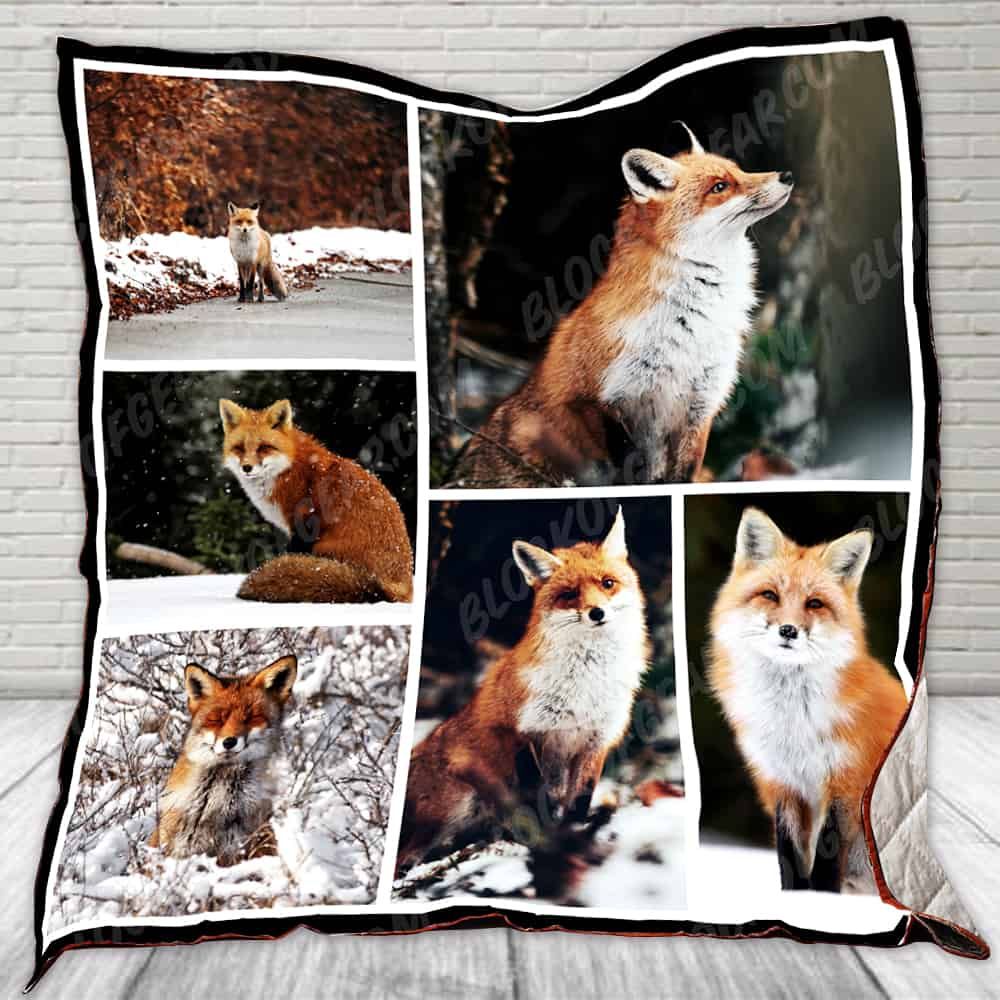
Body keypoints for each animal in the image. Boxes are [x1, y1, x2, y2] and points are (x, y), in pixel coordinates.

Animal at [396, 507, 649, 875]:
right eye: (569, 594)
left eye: (607, 583)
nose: (597, 612)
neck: (585, 684)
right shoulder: (522, 733)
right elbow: (538, 798)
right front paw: (551, 844)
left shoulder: (595, 740)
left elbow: (579, 800)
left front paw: (575, 834)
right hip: (453, 806)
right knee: (407, 857)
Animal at [457, 124, 793, 487]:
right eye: (720, 186)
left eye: (739, 170)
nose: (787, 175)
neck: (691, 325)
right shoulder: (598, 401)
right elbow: (630, 472)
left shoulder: (700, 405)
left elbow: (680, 476)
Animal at [707, 507, 908, 893]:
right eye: (770, 595)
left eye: (814, 603)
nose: (788, 630)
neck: (793, 723)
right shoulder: (781, 783)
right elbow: (788, 859)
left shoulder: (846, 783)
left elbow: (826, 861)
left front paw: (823, 901)